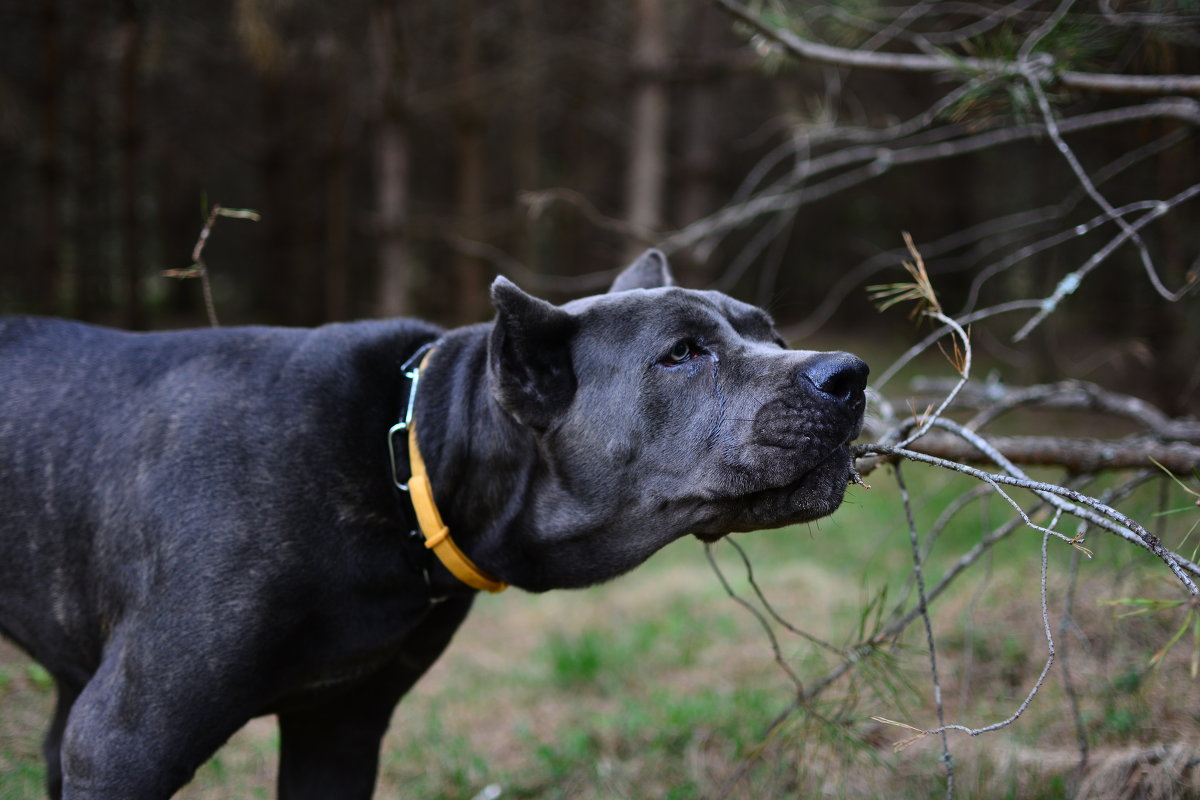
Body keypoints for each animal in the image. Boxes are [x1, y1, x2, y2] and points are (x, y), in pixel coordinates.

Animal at [0, 248, 864, 796]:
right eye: (681, 354)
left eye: (775, 336)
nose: (847, 375)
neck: (408, 456)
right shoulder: (123, 745)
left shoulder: (339, 733)